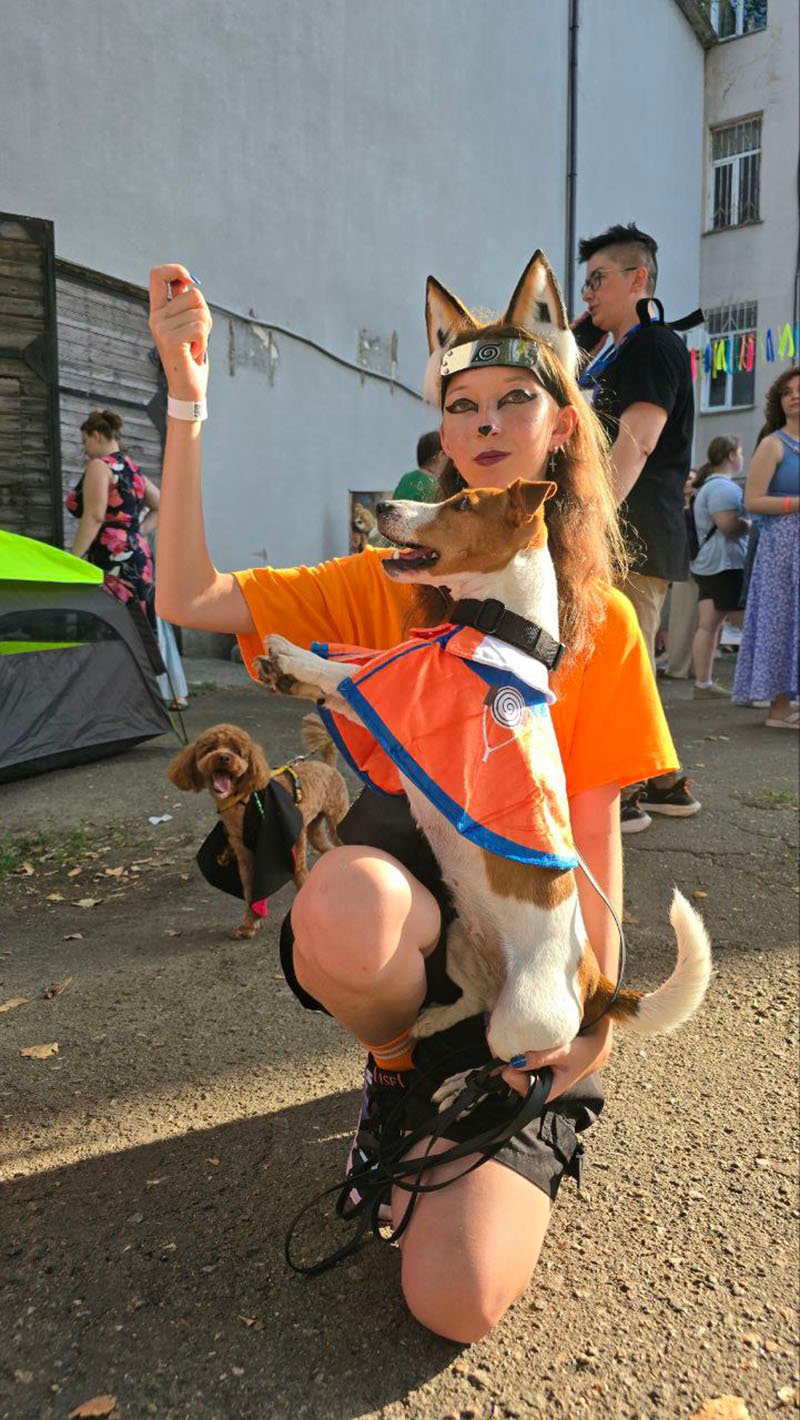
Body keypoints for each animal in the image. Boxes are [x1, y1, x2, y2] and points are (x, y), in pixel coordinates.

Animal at [168, 719, 349, 939]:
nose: (224, 757)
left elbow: (299, 874)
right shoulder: (243, 851)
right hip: (315, 830)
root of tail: (328, 766)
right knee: (330, 848)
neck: (243, 800)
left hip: (336, 818)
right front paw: (249, 924)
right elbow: (249, 889)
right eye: (210, 748)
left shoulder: (295, 835)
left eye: (237, 751)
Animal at [253, 478, 711, 1062]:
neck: (503, 627)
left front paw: (292, 657)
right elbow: (352, 672)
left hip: (517, 1021)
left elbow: (344, 673)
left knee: (511, 1051)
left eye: (462, 504)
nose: (380, 505)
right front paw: (286, 672)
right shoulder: (395, 698)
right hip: (456, 943)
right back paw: (431, 1022)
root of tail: (595, 984)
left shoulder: (405, 705)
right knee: (472, 1000)